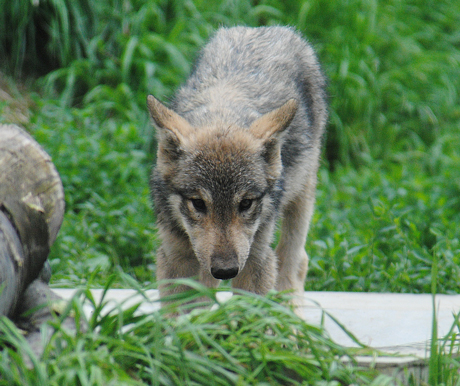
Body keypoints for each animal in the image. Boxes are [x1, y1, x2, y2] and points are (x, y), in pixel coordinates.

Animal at [147, 25, 328, 306]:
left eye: (245, 204)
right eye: (198, 204)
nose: (225, 271)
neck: (222, 114)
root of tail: (264, 29)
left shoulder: (256, 258)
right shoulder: (176, 257)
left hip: (301, 199)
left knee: (296, 263)